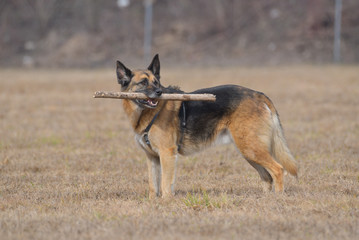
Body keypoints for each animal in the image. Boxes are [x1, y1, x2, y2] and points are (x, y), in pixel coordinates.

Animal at [116, 54, 298, 199]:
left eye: (156, 82)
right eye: (143, 82)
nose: (159, 92)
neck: (150, 112)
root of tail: (259, 95)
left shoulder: (167, 154)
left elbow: (165, 185)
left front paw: (166, 202)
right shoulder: (152, 158)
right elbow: (153, 185)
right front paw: (153, 202)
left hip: (251, 149)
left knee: (278, 169)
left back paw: (278, 198)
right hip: (249, 151)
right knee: (267, 176)